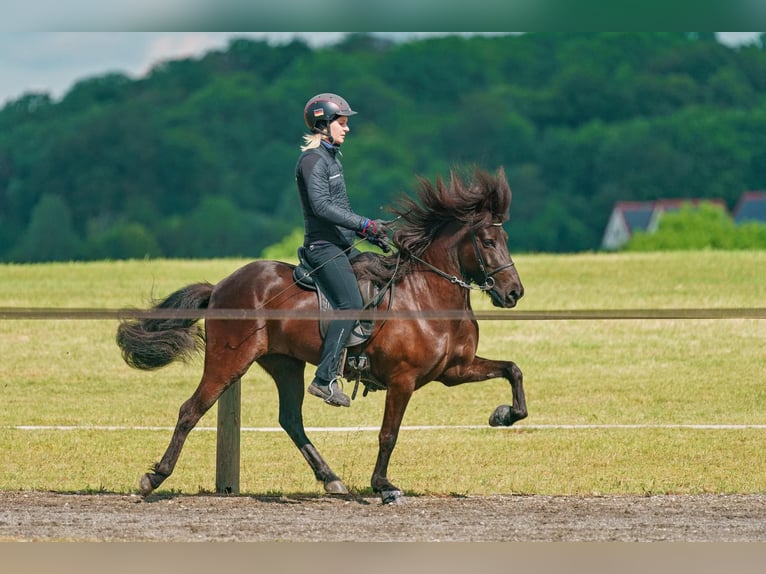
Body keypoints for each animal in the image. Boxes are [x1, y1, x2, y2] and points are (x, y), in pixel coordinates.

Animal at [117, 166, 528, 504]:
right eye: (488, 242)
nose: (513, 293)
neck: (427, 297)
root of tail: (220, 287)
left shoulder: (454, 371)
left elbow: (512, 370)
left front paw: (504, 415)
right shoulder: (403, 380)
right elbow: (388, 434)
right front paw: (384, 486)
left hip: (285, 364)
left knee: (291, 420)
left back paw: (331, 479)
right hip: (228, 360)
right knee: (191, 410)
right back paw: (153, 478)